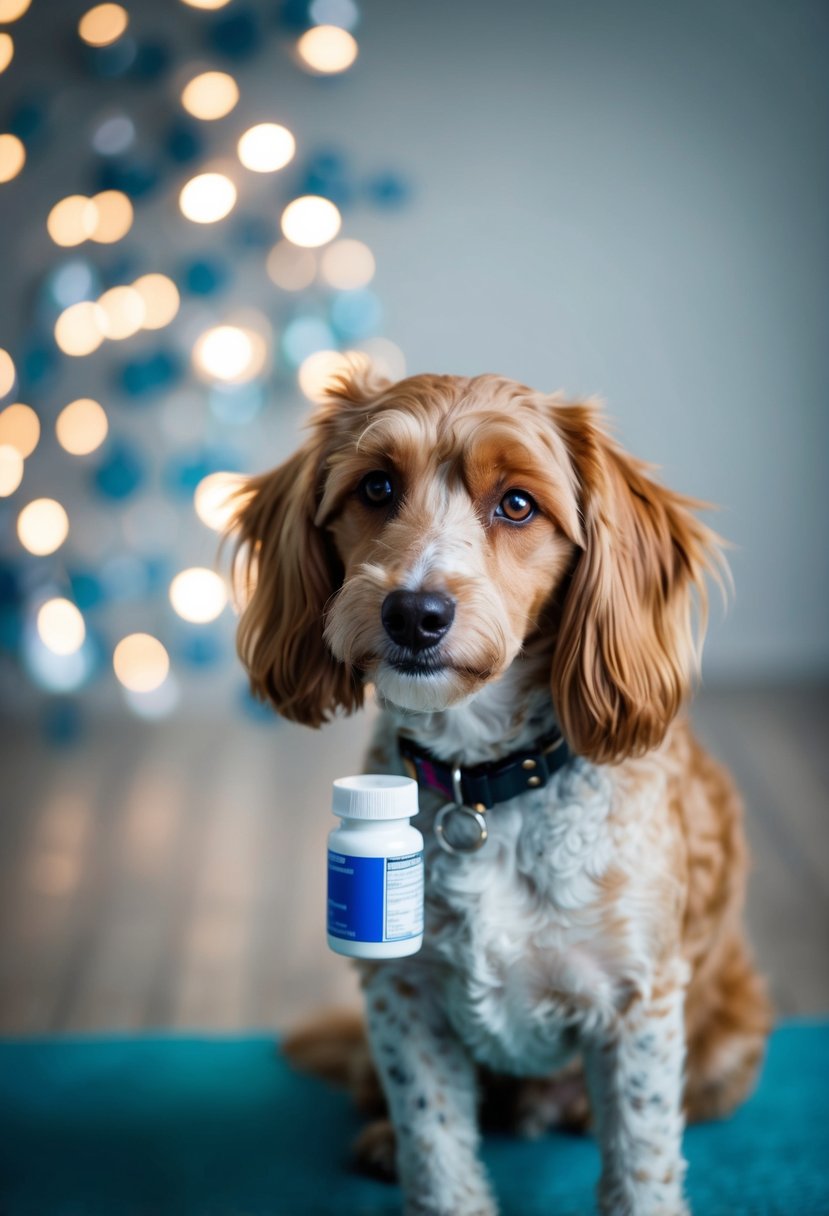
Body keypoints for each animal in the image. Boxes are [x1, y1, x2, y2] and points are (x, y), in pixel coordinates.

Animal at [226, 369, 768, 1216]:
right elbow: (436, 1143)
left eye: (517, 504)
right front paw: (424, 1167)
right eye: (376, 486)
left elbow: (641, 1161)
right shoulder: (399, 992)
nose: (414, 611)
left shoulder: (637, 1007)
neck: (482, 789)